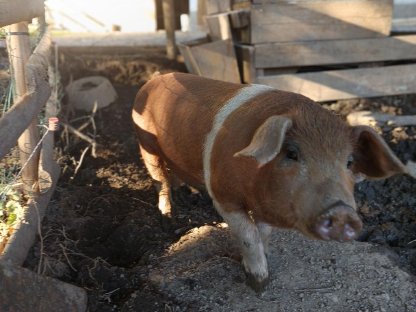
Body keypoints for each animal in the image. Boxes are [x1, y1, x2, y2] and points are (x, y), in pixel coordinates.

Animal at [132, 72, 408, 292]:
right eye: (292, 153)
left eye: (349, 162)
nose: (341, 212)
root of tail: (155, 79)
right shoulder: (224, 197)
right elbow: (248, 235)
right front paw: (259, 284)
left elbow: (263, 233)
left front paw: (266, 257)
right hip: (145, 144)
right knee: (160, 180)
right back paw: (167, 215)